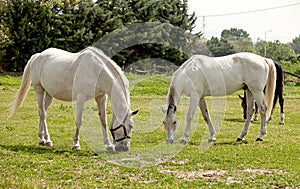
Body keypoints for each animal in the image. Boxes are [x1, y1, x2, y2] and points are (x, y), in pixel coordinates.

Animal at [9, 46, 139, 151]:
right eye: (129, 126)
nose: (125, 148)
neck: (96, 70)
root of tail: (37, 56)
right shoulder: (81, 97)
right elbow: (79, 120)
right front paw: (76, 144)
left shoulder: (101, 97)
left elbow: (103, 121)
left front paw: (108, 145)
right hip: (39, 89)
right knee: (42, 114)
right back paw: (46, 140)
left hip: (49, 94)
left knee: (42, 112)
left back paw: (43, 138)